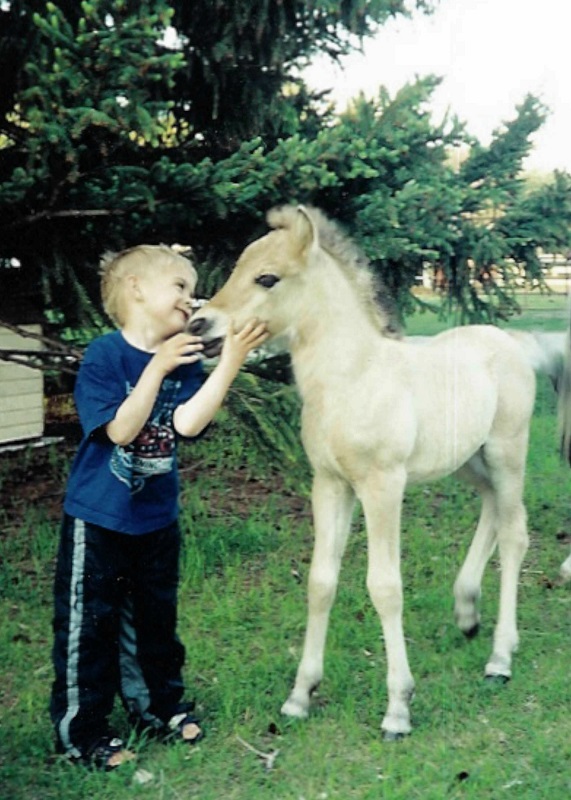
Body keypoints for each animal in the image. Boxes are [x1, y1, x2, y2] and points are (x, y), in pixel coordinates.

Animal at [189, 204, 556, 738]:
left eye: (267, 277)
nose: (200, 323)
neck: (351, 380)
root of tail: (509, 342)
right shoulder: (329, 485)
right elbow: (321, 581)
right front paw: (300, 695)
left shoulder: (383, 485)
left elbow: (385, 587)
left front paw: (398, 708)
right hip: (468, 459)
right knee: (491, 508)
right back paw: (467, 610)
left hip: (507, 450)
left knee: (514, 534)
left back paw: (500, 658)